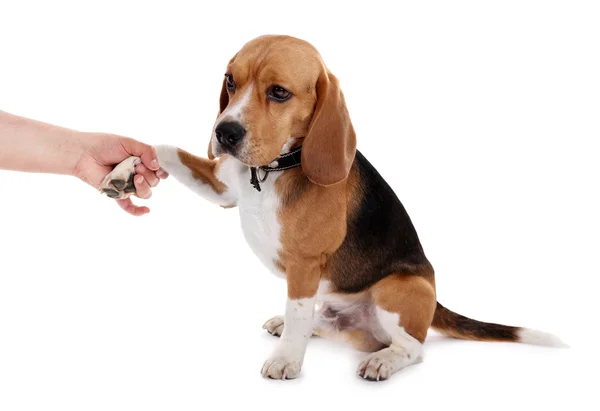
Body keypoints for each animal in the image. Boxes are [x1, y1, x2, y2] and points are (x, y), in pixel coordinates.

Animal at [99, 33, 568, 382]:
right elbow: (164, 149)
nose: (225, 132)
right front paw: (127, 169)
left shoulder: (305, 264)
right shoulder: (224, 189)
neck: (271, 170)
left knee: (412, 348)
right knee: (323, 322)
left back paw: (381, 361)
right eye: (230, 81)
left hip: (397, 288)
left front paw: (286, 361)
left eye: (279, 92)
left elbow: (299, 313)